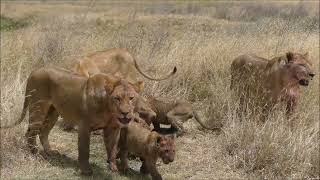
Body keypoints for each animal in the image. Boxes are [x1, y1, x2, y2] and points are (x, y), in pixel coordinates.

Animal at [0, 67, 144, 175]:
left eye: (131, 98)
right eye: (117, 98)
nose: (125, 113)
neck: (108, 109)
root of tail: (34, 71)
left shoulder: (113, 128)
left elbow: (112, 149)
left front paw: (113, 168)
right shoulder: (84, 125)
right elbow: (84, 149)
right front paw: (86, 170)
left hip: (53, 113)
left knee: (43, 132)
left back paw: (50, 152)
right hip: (38, 109)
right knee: (30, 132)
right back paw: (35, 153)